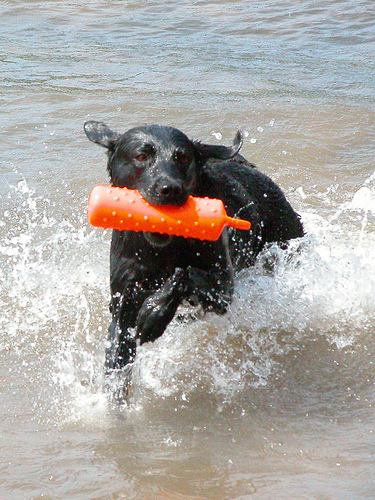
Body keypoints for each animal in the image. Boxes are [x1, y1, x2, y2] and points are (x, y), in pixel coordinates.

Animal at [83, 122, 304, 382]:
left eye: (183, 157)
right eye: (141, 156)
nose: (170, 189)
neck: (163, 250)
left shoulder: (224, 289)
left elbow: (186, 273)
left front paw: (153, 314)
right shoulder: (123, 303)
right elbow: (117, 363)